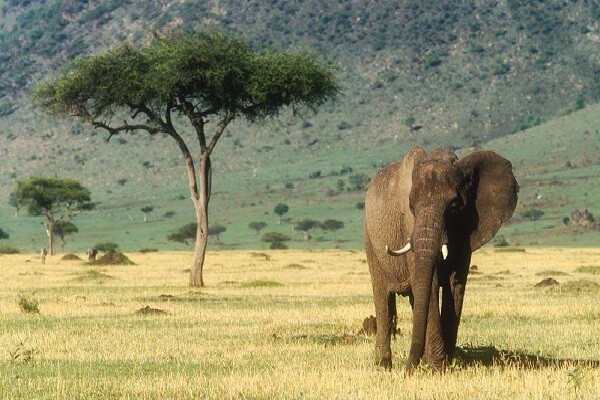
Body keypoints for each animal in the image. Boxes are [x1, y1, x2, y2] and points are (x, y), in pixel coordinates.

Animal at [364, 146, 516, 372]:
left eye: (454, 206)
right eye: (411, 206)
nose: (407, 371)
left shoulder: (465, 232)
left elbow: (455, 285)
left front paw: (443, 363)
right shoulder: (409, 226)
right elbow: (432, 283)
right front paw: (437, 366)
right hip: (370, 239)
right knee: (383, 298)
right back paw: (384, 365)